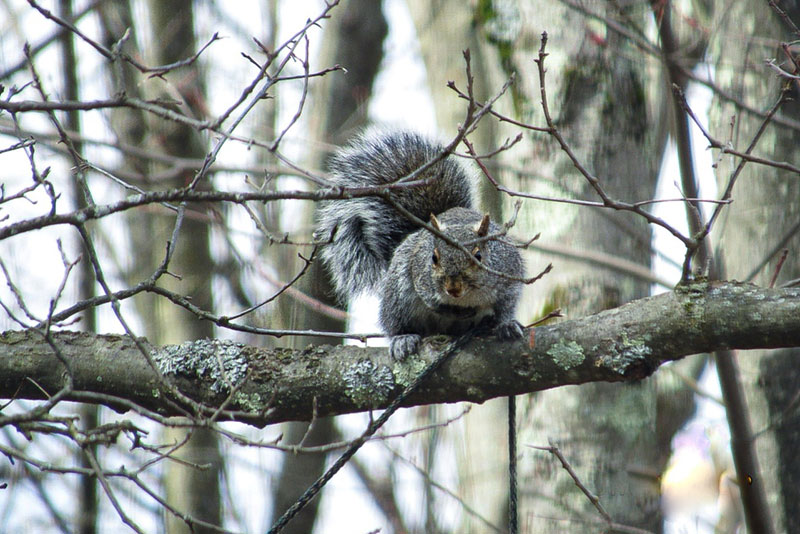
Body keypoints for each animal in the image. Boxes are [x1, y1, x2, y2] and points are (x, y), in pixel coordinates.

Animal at [315, 130, 524, 360]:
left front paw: (506, 325)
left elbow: (507, 305)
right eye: (433, 258)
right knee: (395, 322)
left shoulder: (510, 274)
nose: (453, 288)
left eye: (478, 256)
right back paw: (402, 339)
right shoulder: (419, 272)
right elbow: (427, 297)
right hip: (397, 296)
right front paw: (444, 308)